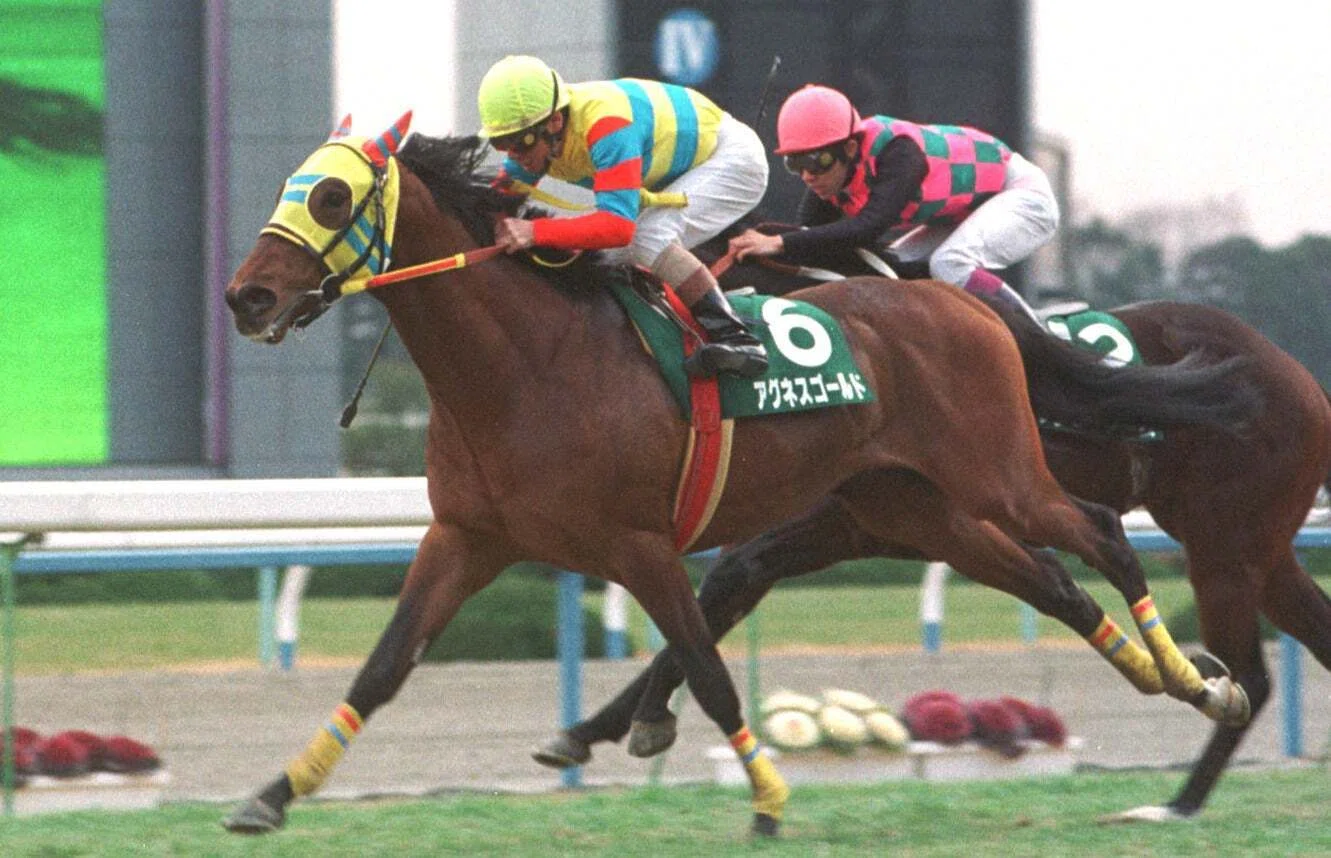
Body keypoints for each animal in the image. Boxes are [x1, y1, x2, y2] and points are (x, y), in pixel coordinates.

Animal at [536, 223, 1331, 822]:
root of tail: (1294, 373)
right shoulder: (850, 520)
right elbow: (714, 601)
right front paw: (595, 730)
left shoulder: (834, 518)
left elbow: (715, 592)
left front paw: (616, 723)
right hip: (1259, 545)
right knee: (1312, 635)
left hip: (1223, 545)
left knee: (1252, 676)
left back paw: (1175, 803)